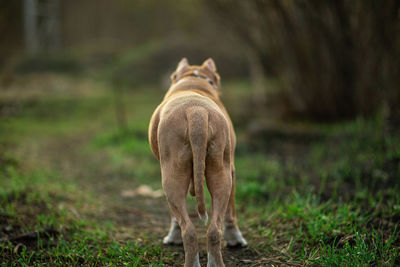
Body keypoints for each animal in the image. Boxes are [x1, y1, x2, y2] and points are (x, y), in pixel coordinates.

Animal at [148, 57, 245, 266]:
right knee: (212, 229)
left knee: (190, 229)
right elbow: (230, 212)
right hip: (221, 173)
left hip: (173, 177)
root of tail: (196, 112)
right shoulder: (232, 169)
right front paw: (235, 238)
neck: (193, 80)